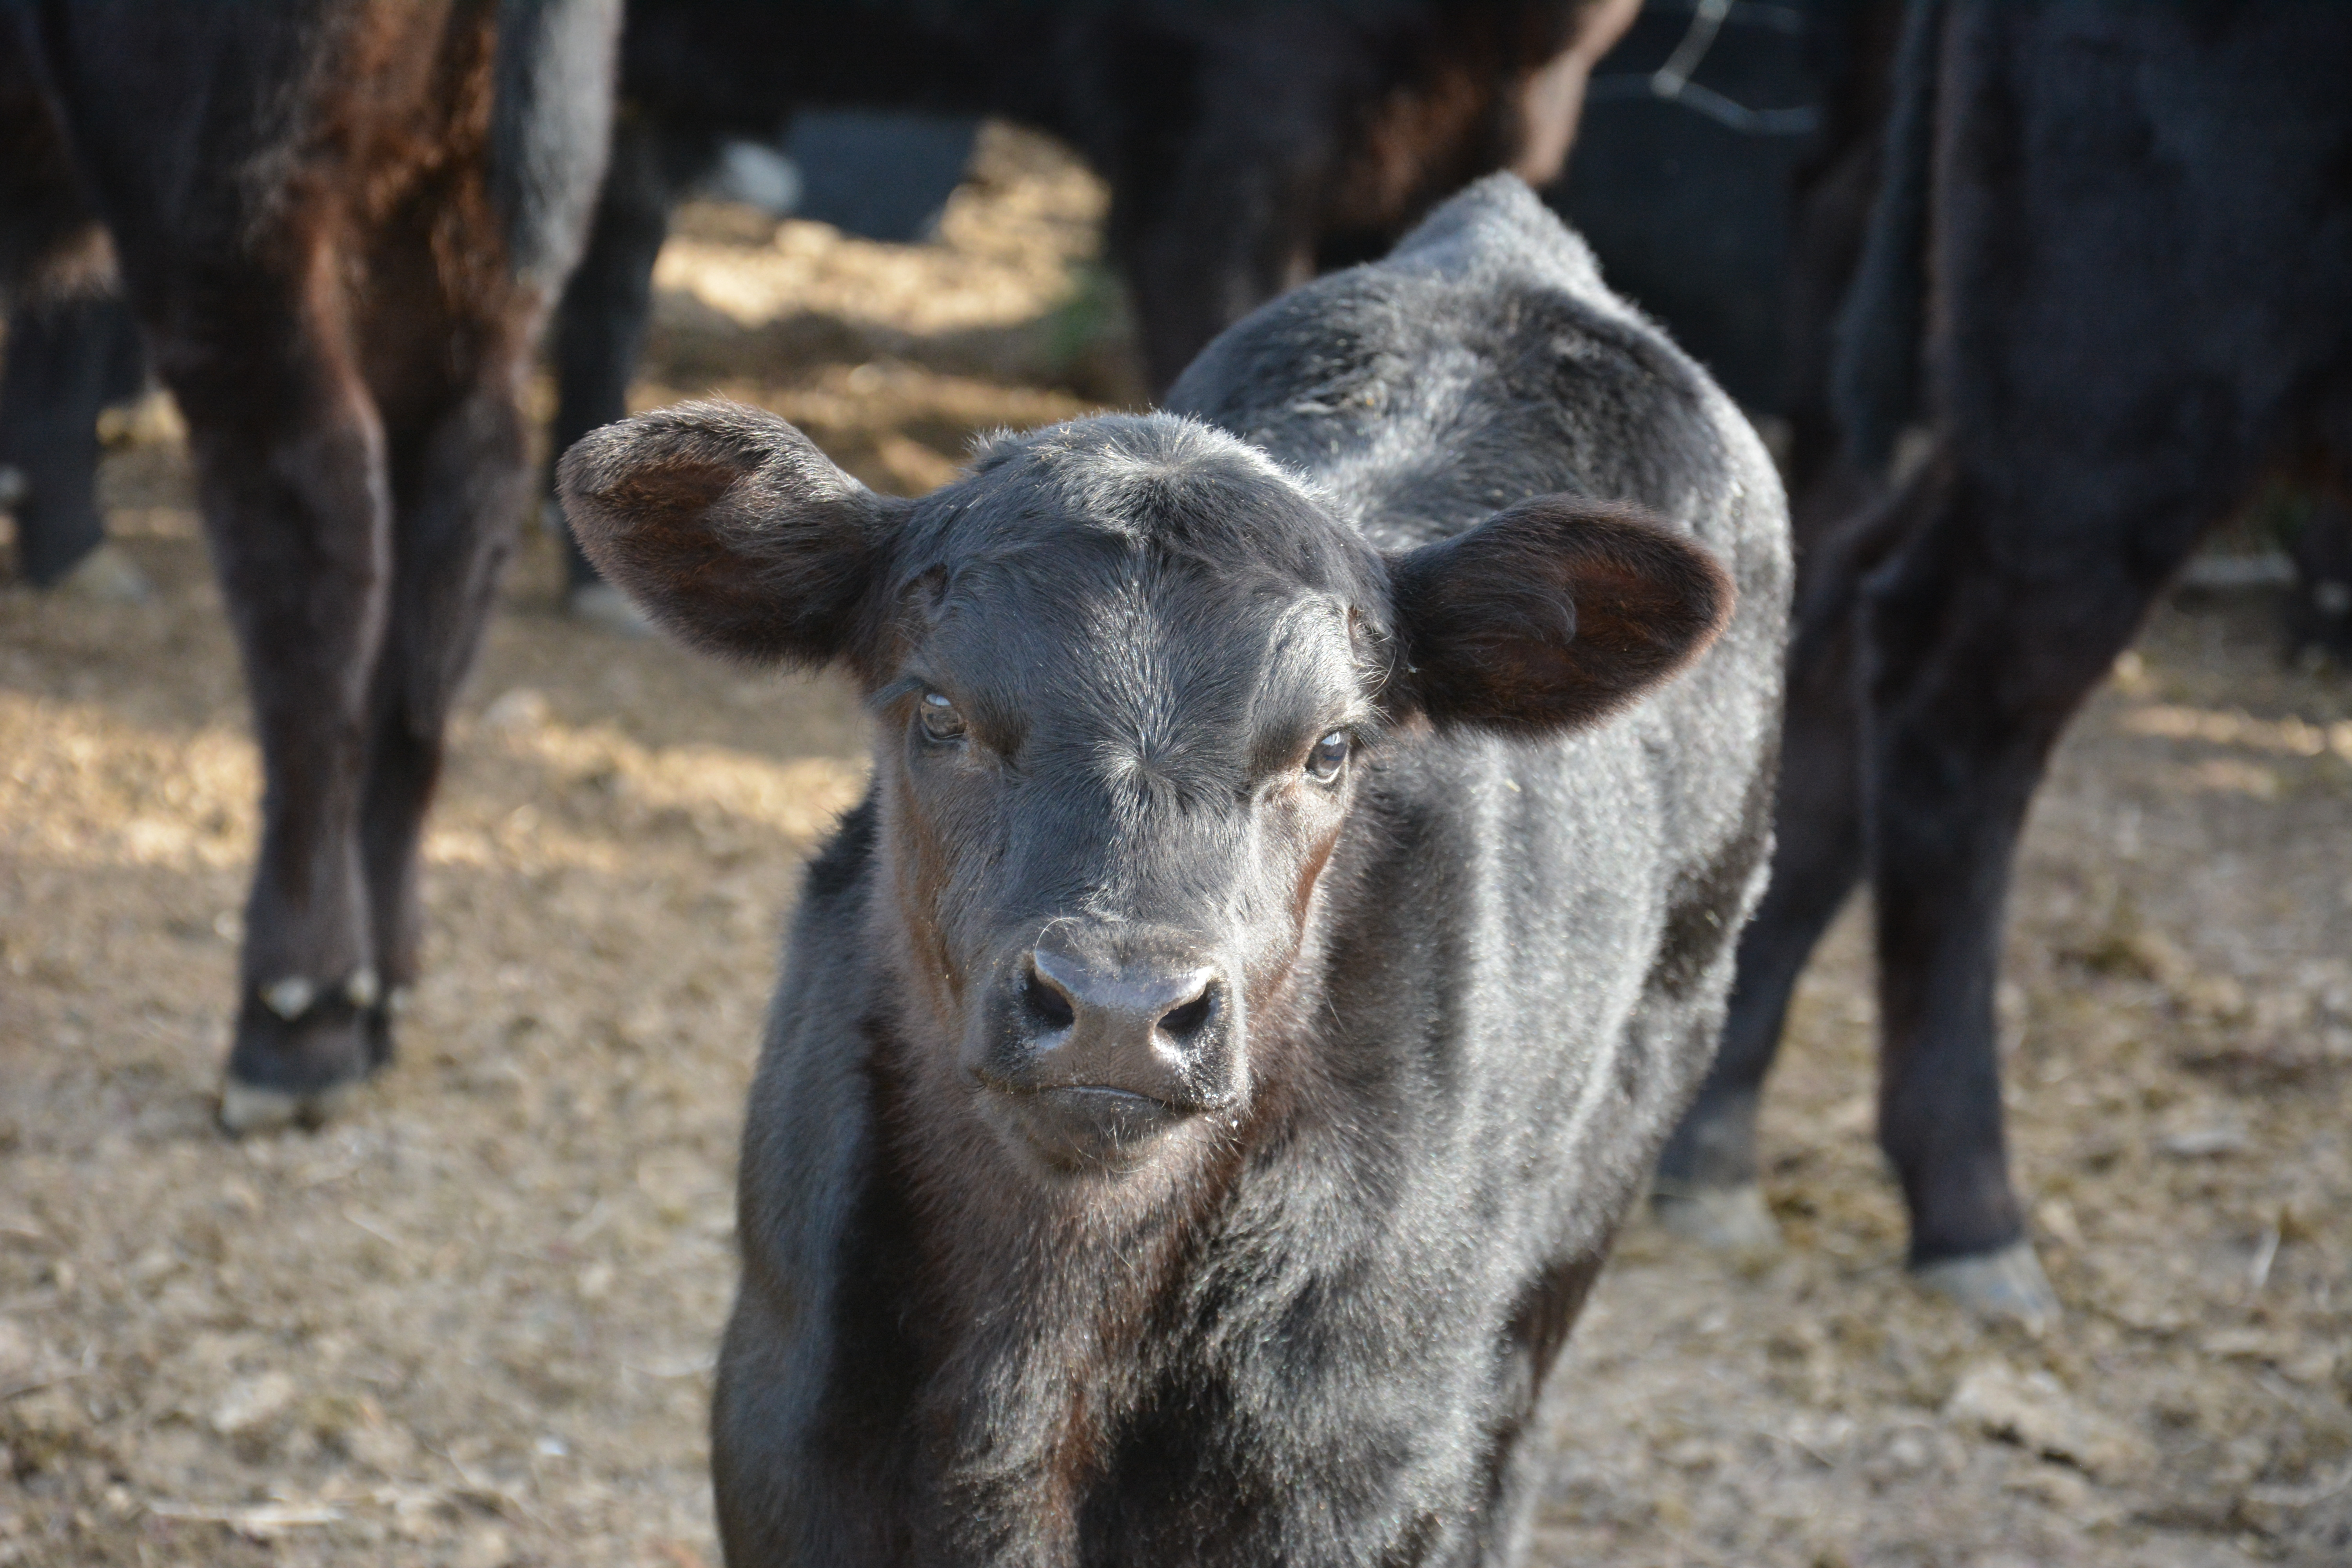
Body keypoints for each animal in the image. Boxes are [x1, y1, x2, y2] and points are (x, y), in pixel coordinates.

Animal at [0, 0, 621, 1131]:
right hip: (456, 250)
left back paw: (295, 1021)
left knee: (314, 526)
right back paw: (379, 995)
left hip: (233, 226)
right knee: (434, 597)